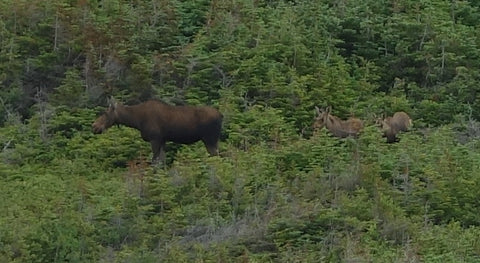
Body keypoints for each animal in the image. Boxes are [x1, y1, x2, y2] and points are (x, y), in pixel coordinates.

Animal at [92, 98, 223, 164]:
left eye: (105, 113)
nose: (94, 126)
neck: (136, 121)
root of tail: (221, 115)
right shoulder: (163, 139)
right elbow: (162, 161)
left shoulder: (154, 138)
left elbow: (154, 161)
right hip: (215, 140)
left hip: (209, 138)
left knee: (216, 156)